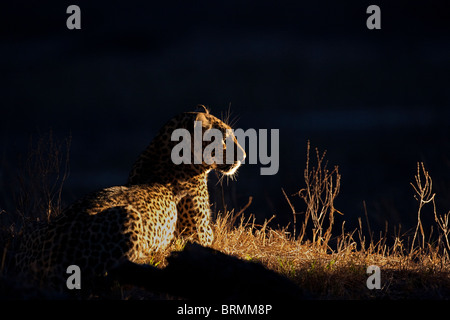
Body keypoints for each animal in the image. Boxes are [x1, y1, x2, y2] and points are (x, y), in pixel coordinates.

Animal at [14, 105, 246, 290]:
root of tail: (44, 259)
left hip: (32, 226)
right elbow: (210, 238)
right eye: (225, 139)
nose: (243, 156)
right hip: (127, 215)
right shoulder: (197, 236)